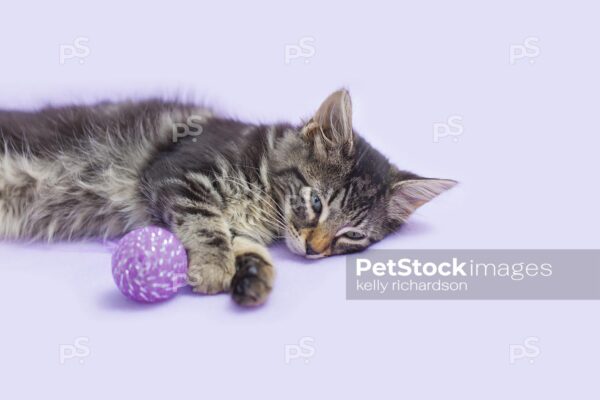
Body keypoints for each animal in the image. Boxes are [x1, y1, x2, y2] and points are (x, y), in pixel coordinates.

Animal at [0, 89, 454, 304]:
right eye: (317, 203)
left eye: (353, 236)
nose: (314, 249)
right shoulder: (177, 174)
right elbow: (206, 223)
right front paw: (215, 268)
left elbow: (238, 241)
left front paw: (253, 274)